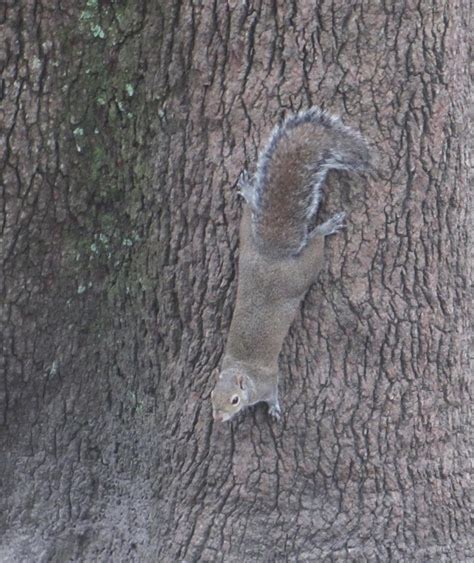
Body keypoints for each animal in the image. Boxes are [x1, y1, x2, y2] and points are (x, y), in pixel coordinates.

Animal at [211, 107, 370, 424]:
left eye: (235, 400)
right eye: (211, 396)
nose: (217, 418)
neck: (241, 370)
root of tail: (271, 254)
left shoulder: (267, 382)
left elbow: (273, 393)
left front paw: (274, 408)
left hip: (302, 272)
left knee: (315, 247)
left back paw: (324, 228)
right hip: (248, 240)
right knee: (250, 215)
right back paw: (249, 191)